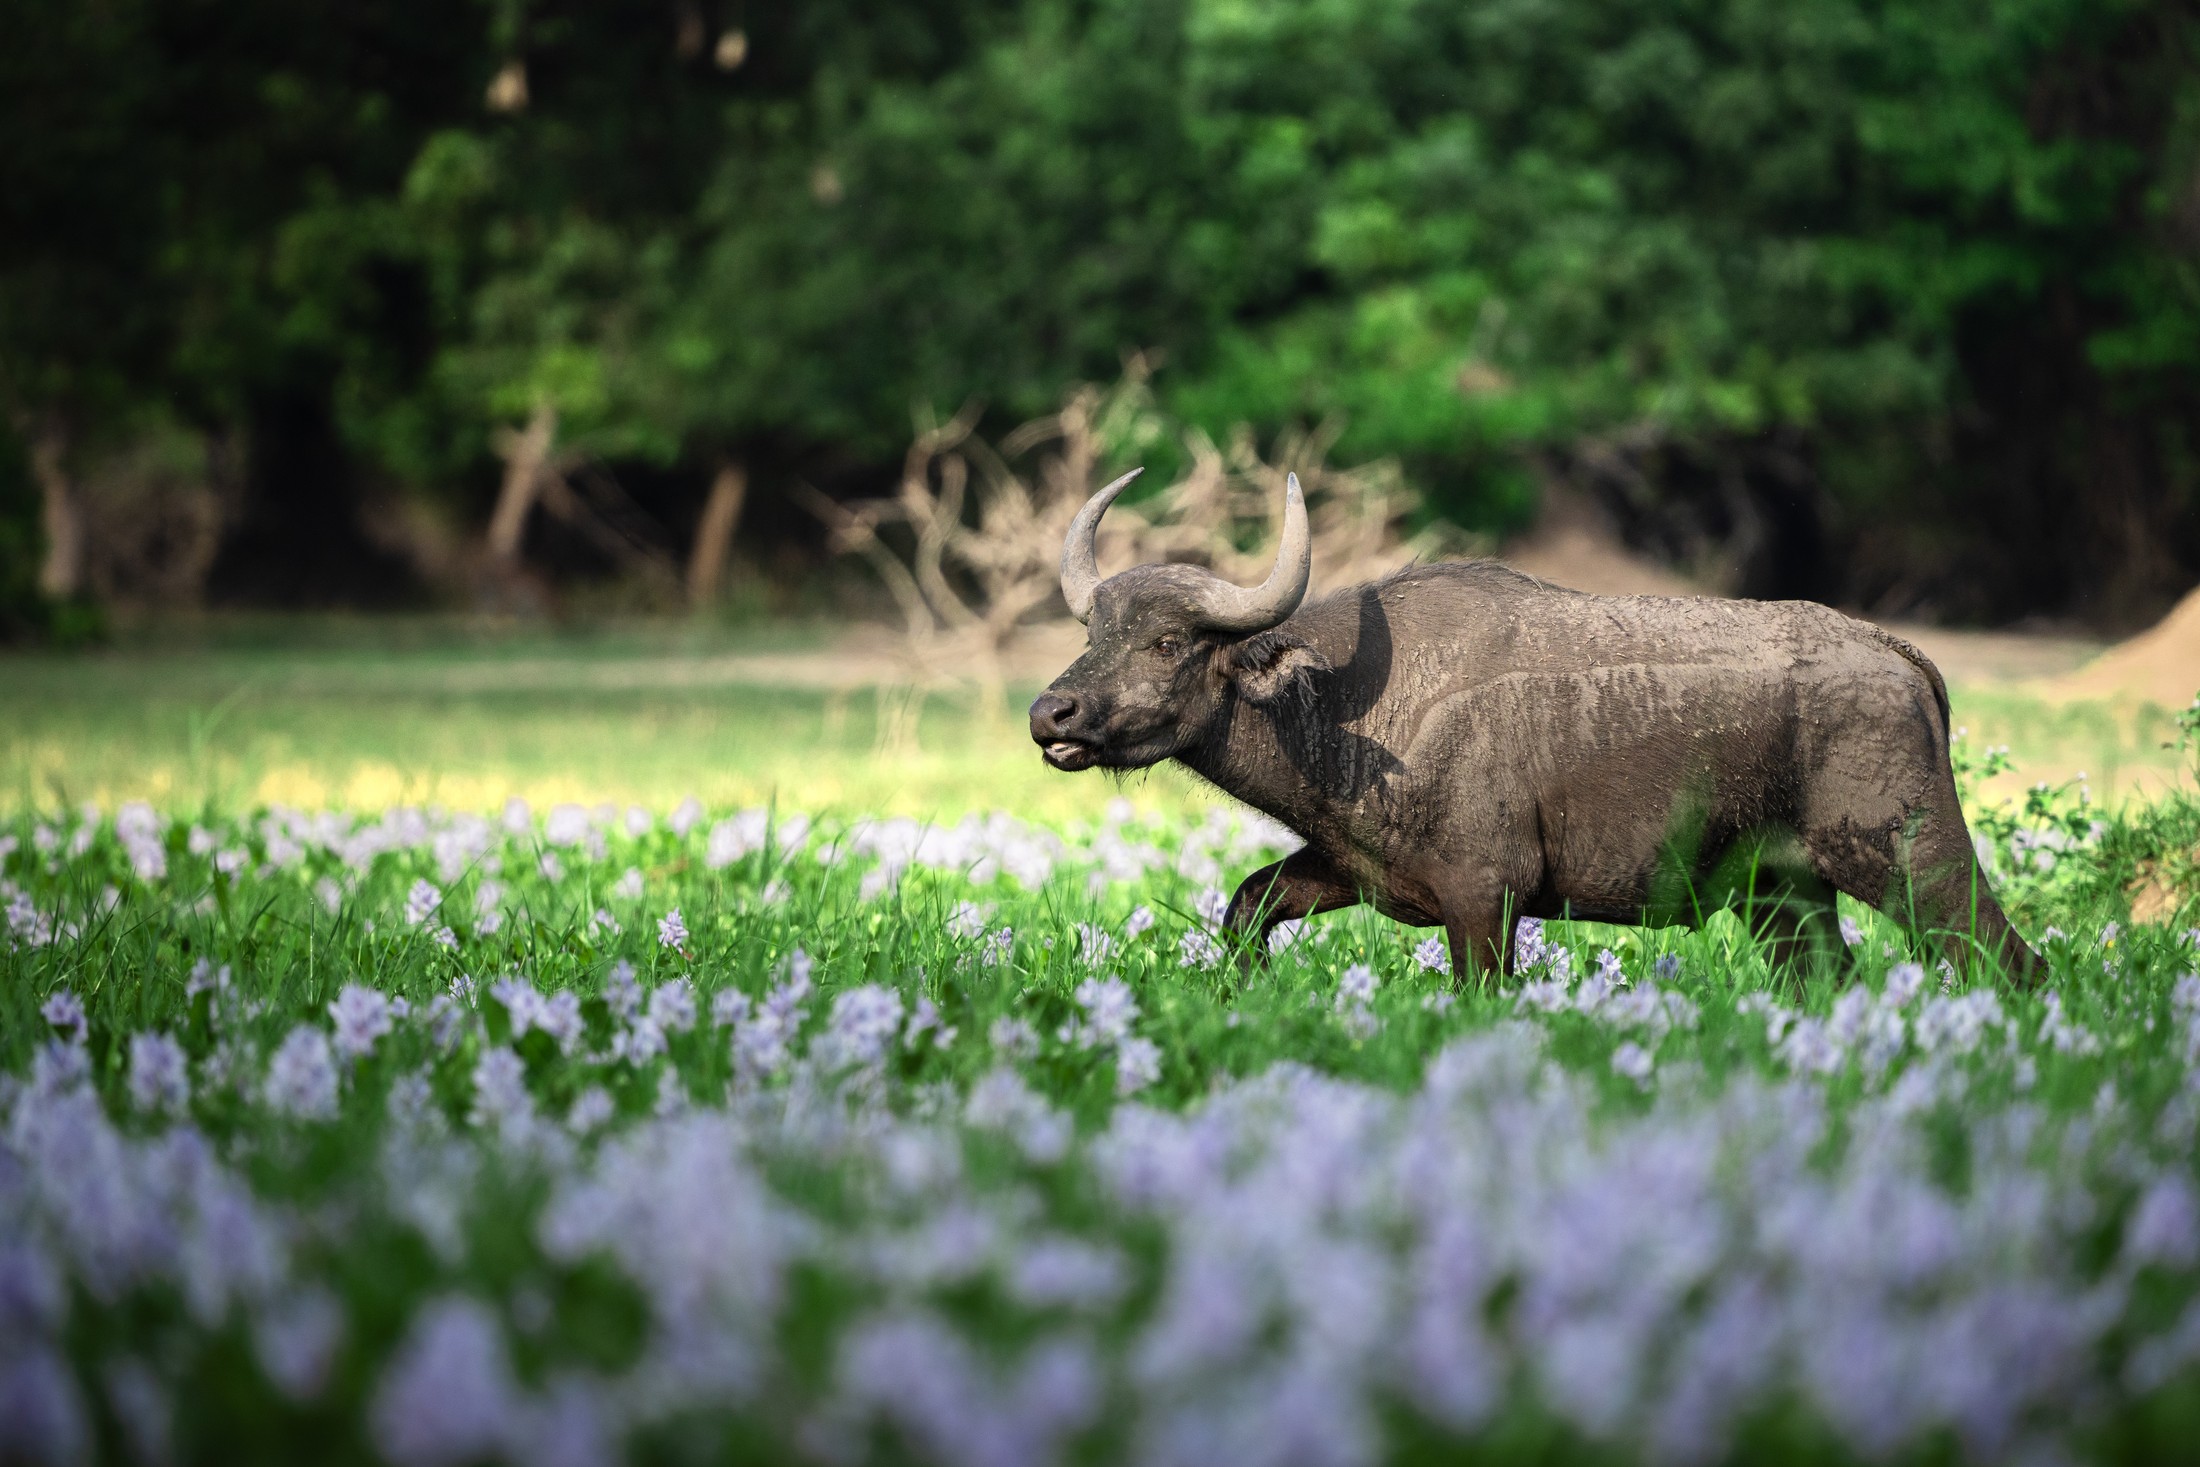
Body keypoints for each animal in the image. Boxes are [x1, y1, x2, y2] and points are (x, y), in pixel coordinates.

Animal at [1030, 470, 2040, 982]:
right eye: (1092, 633)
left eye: (1167, 641)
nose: (1050, 713)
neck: (1354, 704)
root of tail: (1894, 652)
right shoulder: (1352, 867)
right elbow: (1245, 907)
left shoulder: (1487, 894)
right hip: (1783, 897)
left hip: (1916, 862)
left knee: (2010, 963)